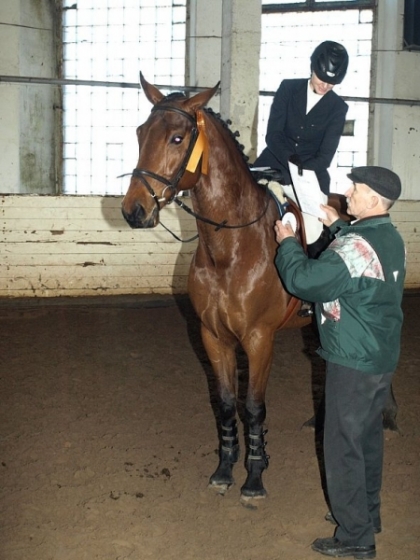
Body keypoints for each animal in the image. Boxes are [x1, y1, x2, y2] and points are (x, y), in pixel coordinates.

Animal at [120, 73, 398, 498]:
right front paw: (225, 467)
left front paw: (254, 475)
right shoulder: (213, 336)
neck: (229, 247)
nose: (134, 211)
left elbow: (253, 406)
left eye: (177, 139)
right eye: (139, 133)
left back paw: (388, 415)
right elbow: (225, 403)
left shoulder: (258, 338)